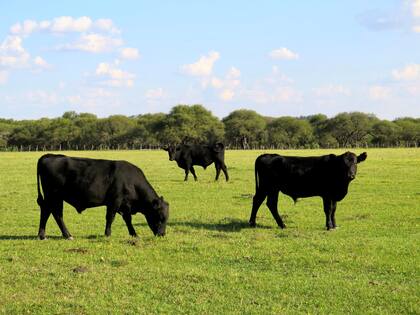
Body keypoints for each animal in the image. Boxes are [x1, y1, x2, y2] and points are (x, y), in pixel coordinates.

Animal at [36, 154, 169, 241]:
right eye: (160, 217)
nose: (162, 234)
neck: (132, 182)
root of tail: (50, 156)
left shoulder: (125, 205)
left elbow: (128, 220)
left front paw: (134, 234)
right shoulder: (115, 201)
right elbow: (110, 218)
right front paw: (107, 234)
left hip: (55, 198)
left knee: (51, 213)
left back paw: (45, 235)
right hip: (53, 196)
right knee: (53, 213)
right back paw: (64, 235)